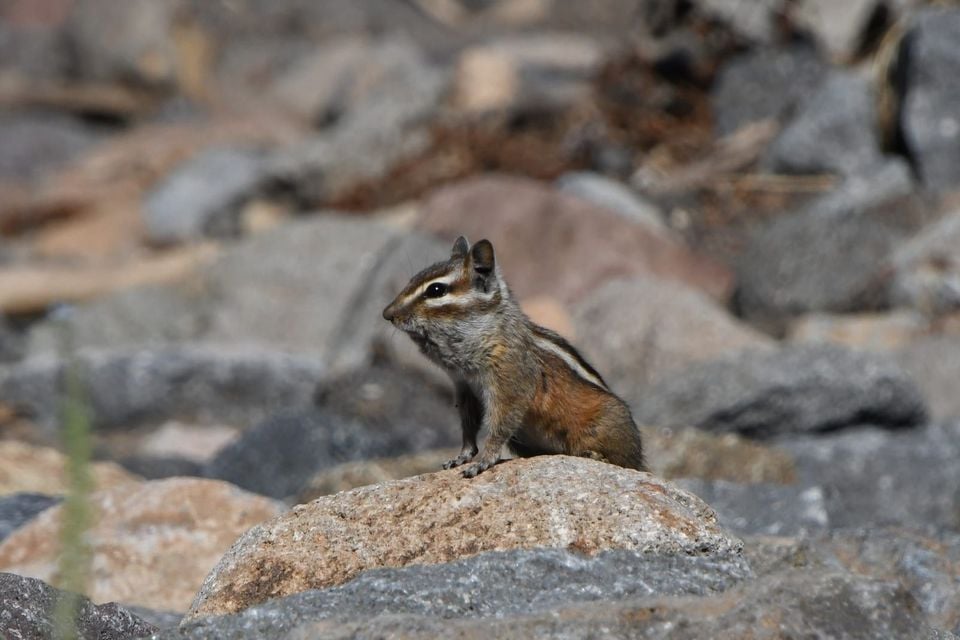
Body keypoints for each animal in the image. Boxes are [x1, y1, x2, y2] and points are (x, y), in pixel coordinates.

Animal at [382, 235, 647, 478]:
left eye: (436, 290)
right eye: (411, 279)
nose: (387, 314)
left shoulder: (509, 383)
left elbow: (499, 426)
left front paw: (483, 461)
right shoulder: (465, 388)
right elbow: (468, 426)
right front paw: (462, 456)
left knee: (624, 462)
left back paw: (596, 455)